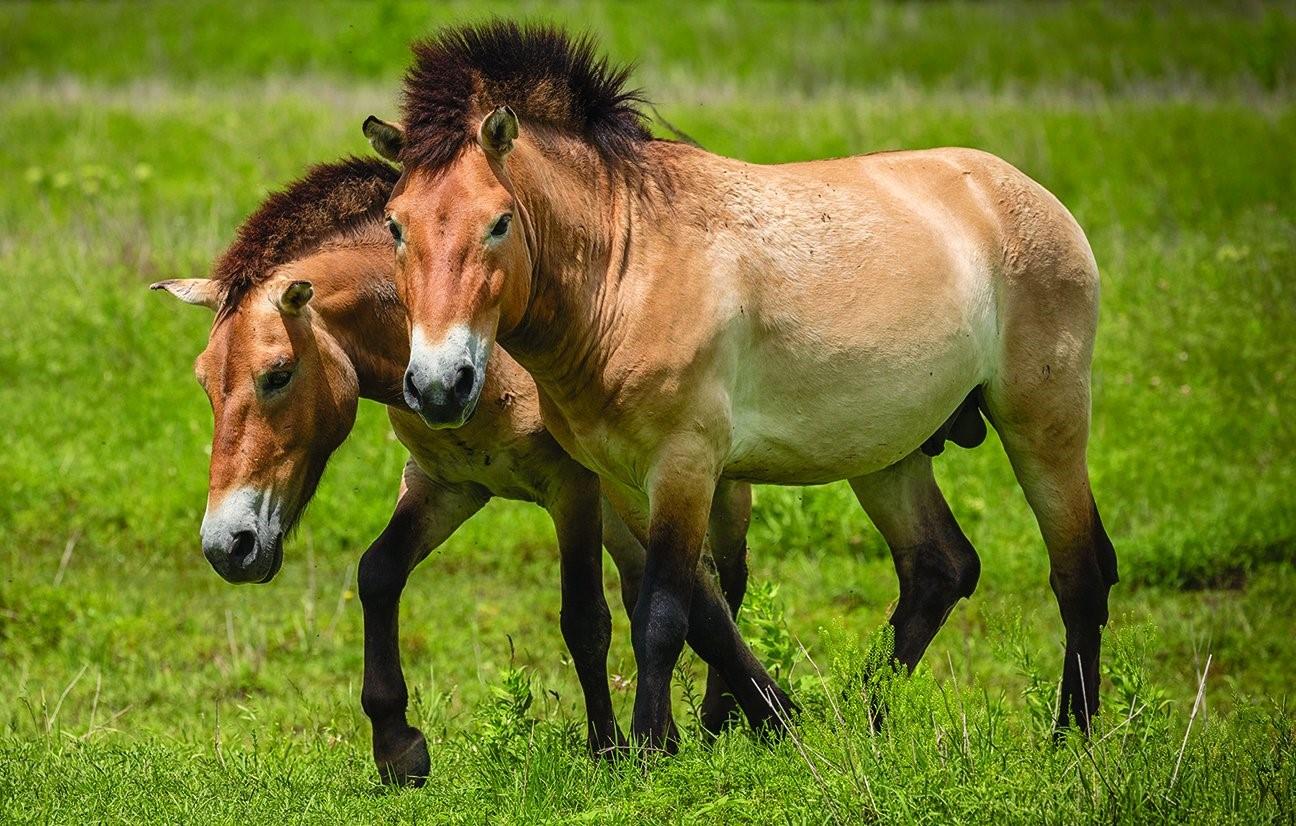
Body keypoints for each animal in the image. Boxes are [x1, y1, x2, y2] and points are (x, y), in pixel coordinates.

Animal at [149, 157, 756, 783]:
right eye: (204, 381)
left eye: (278, 374)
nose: (227, 546)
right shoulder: (446, 485)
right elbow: (378, 573)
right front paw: (397, 746)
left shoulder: (572, 488)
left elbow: (587, 619)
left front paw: (607, 750)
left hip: (709, 484)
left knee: (724, 579)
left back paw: (727, 716)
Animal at [370, 24, 1119, 746]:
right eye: (395, 225)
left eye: (499, 222)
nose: (440, 386)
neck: (628, 267)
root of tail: (1026, 194)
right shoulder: (619, 478)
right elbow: (702, 611)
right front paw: (758, 722)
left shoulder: (685, 465)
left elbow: (664, 613)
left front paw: (651, 751)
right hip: (888, 454)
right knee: (940, 567)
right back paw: (864, 725)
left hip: (1042, 419)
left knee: (1078, 571)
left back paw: (1071, 737)